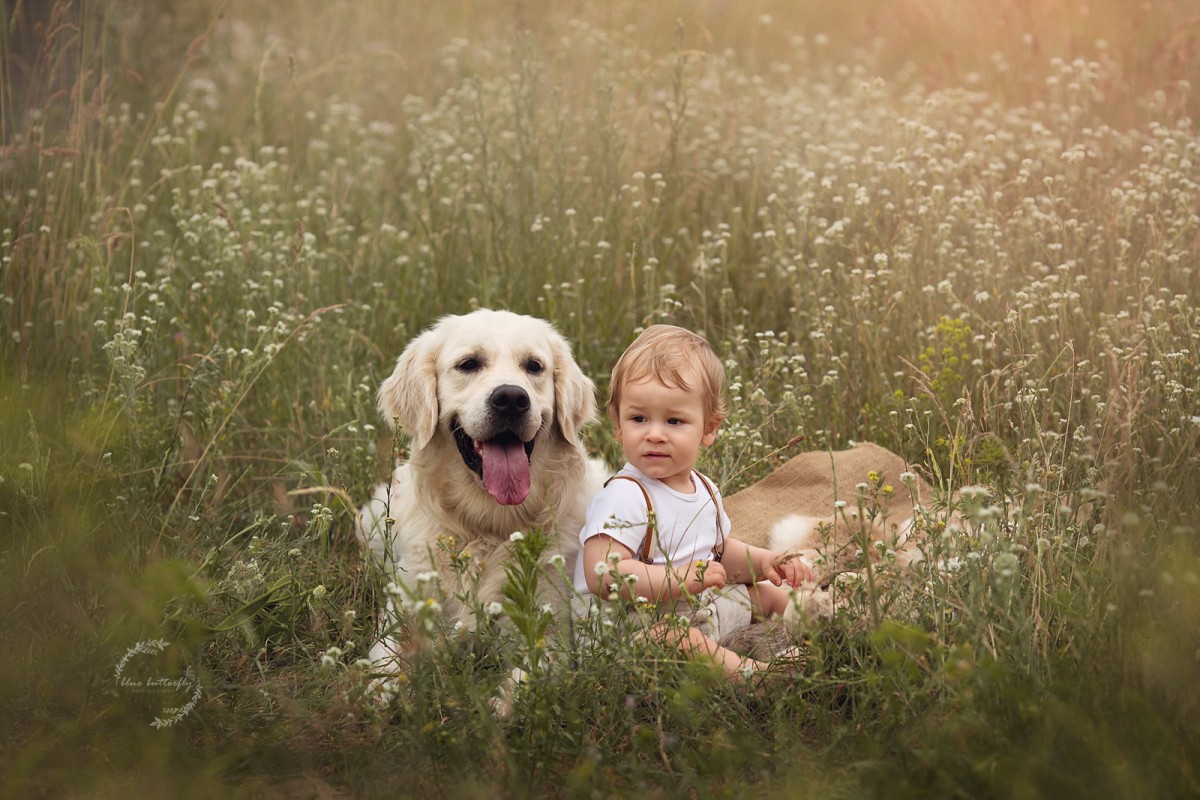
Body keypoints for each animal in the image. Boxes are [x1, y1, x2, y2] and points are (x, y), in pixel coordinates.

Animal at [352, 309, 600, 681]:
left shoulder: (546, 633)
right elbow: (384, 670)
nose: (511, 399)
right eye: (468, 364)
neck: (488, 525)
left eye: (534, 366)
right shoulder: (404, 617)